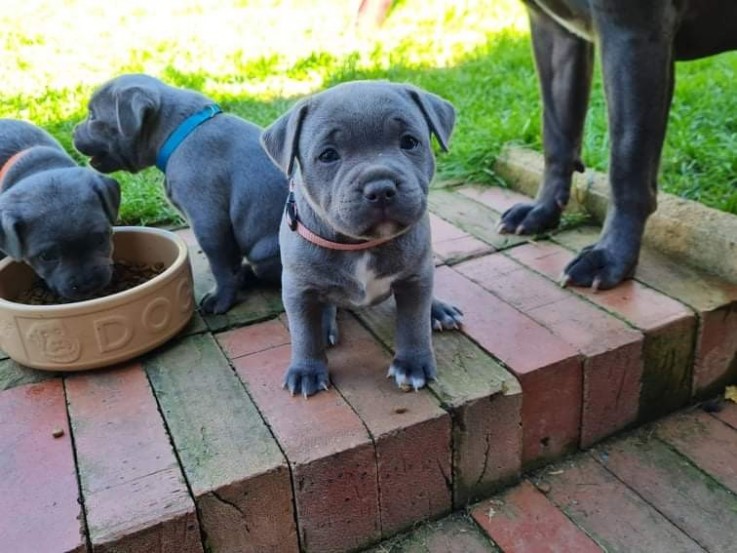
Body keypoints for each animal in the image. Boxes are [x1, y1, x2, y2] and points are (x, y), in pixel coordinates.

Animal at [73, 75, 288, 312]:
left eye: (93, 116)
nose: (73, 130)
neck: (178, 132)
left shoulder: (209, 223)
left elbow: (221, 266)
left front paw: (220, 299)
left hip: (266, 254)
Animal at [262, 78, 462, 396]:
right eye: (328, 155)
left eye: (409, 142)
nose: (380, 188)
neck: (362, 245)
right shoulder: (297, 288)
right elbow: (304, 333)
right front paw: (307, 371)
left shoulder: (415, 278)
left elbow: (413, 323)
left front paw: (413, 365)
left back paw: (440, 310)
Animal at [498, 0, 736, 292]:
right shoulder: (552, 31)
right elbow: (557, 133)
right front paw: (541, 209)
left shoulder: (632, 35)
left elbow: (627, 160)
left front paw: (610, 256)